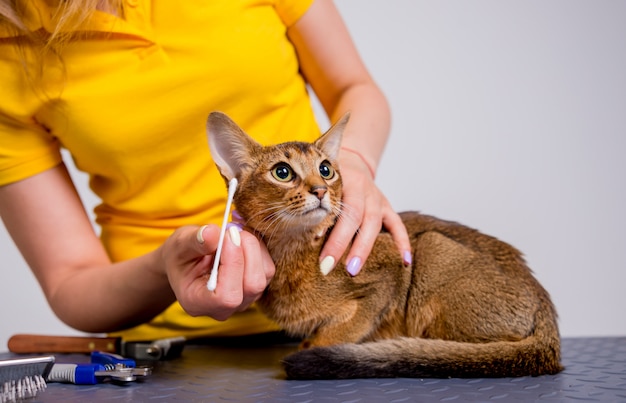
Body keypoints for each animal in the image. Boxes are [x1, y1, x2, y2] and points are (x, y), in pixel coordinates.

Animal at [206, 112, 560, 380]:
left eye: (326, 169)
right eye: (282, 172)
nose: (320, 190)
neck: (293, 253)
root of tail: (546, 309)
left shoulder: (390, 266)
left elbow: (349, 327)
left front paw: (317, 347)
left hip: (432, 247)